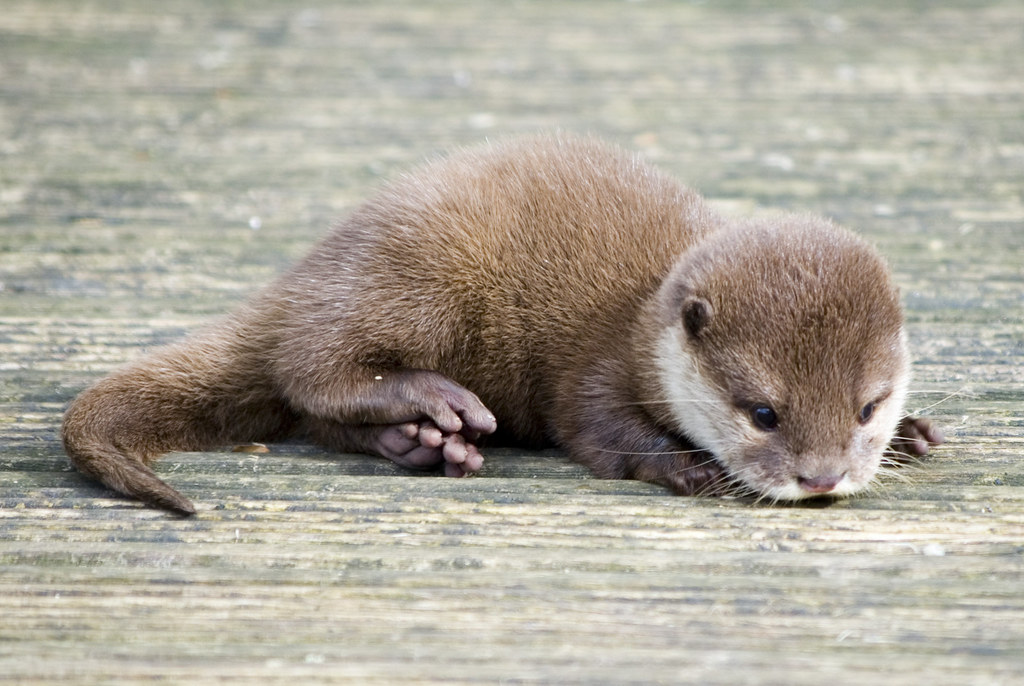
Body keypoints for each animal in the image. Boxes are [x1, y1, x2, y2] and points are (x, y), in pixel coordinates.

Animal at [62, 134, 943, 515]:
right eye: (762, 412)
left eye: (867, 406)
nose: (822, 477)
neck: (642, 322)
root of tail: (304, 273)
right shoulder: (595, 370)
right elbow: (598, 431)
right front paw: (692, 467)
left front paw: (911, 436)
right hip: (422, 277)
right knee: (312, 368)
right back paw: (435, 404)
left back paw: (421, 445)